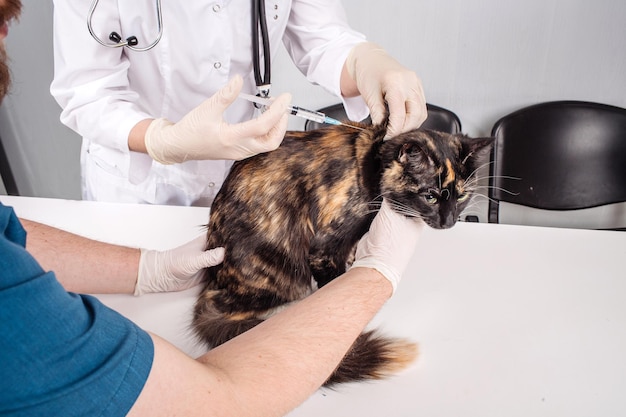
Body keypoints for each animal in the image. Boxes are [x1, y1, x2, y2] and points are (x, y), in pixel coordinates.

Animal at [193, 122, 490, 386]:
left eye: (461, 196)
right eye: (430, 196)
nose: (449, 222)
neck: (373, 165)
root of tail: (211, 286)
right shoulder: (325, 249)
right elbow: (334, 283)